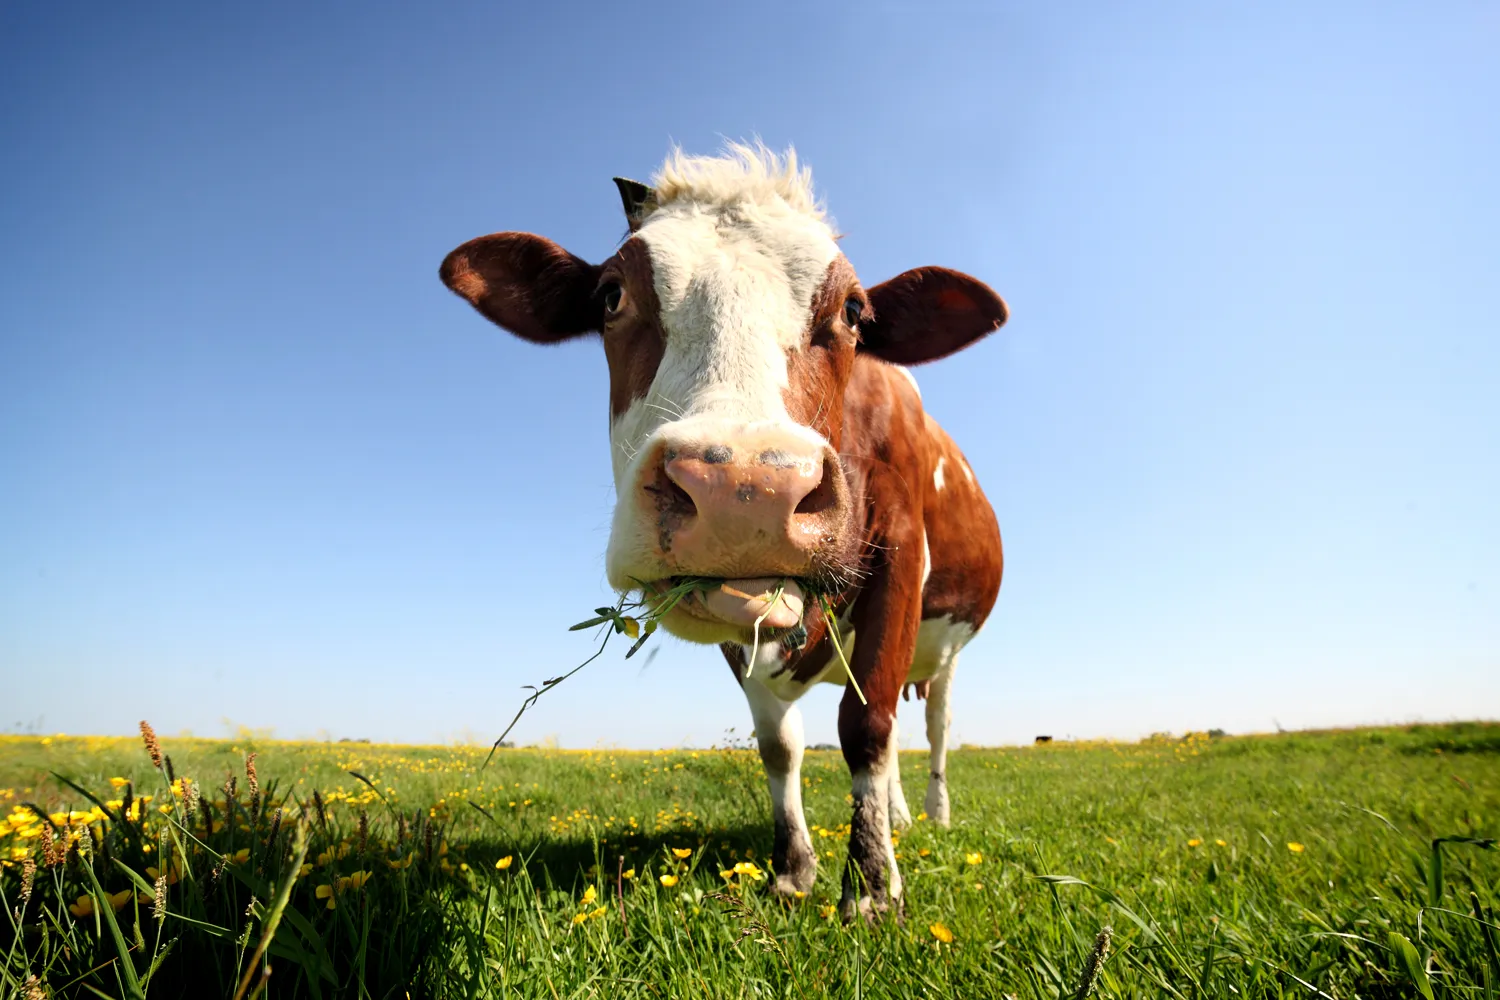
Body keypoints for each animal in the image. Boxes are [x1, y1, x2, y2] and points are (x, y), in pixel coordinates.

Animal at [439, 145, 1006, 920]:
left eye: (854, 312)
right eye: (611, 296)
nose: (745, 489)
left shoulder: (899, 556)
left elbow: (866, 728)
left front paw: (870, 887)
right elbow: (780, 744)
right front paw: (795, 869)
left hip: (945, 651)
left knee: (931, 726)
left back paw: (932, 817)